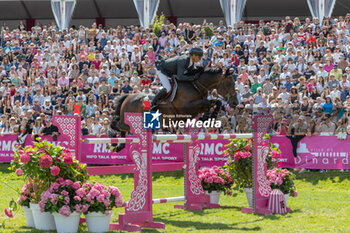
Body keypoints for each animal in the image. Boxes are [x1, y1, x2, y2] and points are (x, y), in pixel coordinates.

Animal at [108, 68, 238, 153]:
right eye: (229, 84)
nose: (235, 102)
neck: (196, 86)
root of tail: (127, 97)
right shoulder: (187, 107)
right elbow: (207, 102)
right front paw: (207, 116)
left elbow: (216, 102)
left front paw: (209, 116)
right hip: (127, 122)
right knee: (116, 125)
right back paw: (113, 139)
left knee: (122, 131)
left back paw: (119, 145)